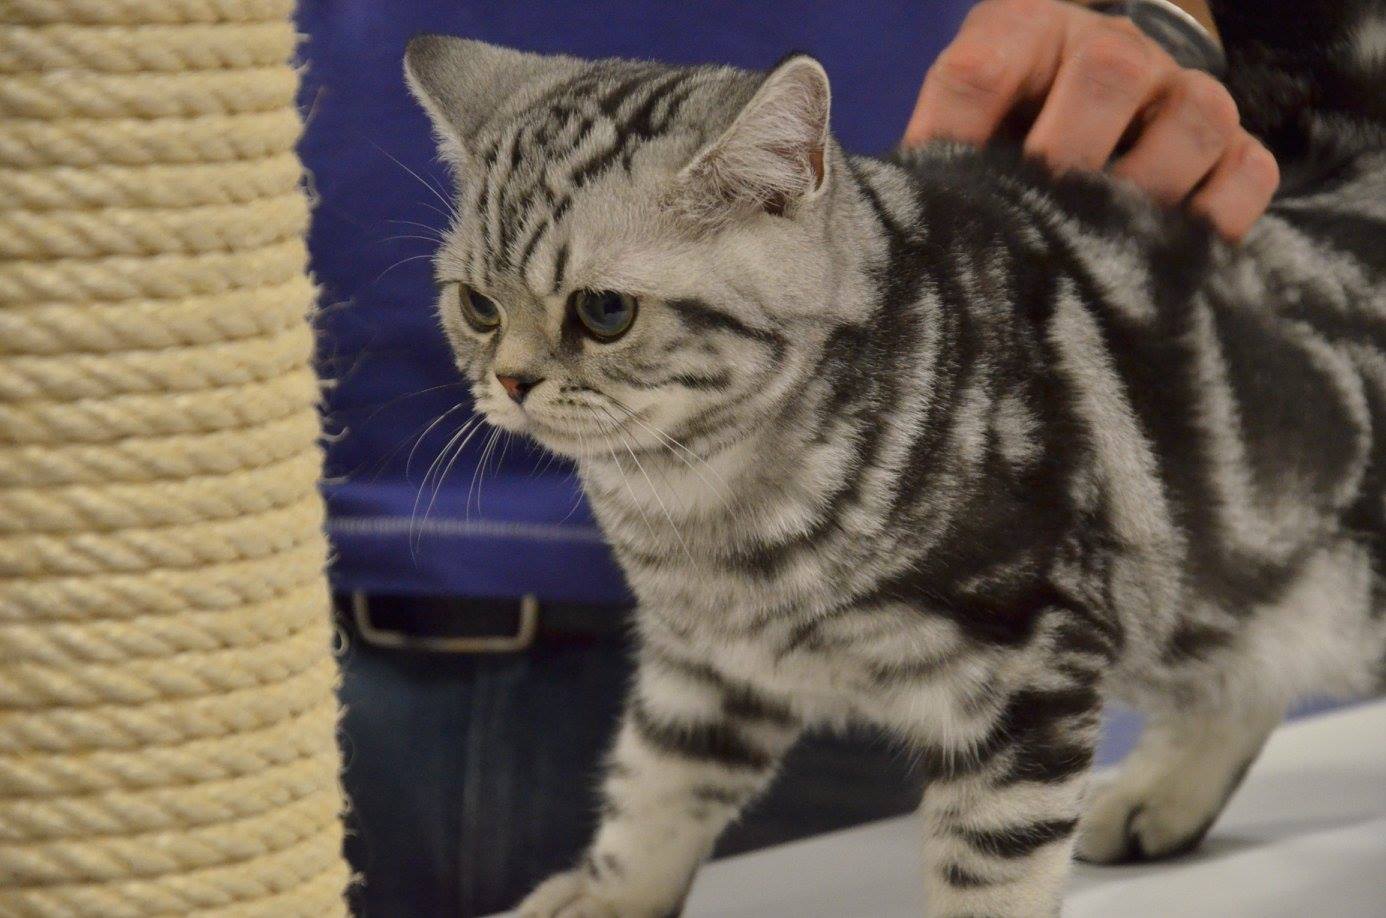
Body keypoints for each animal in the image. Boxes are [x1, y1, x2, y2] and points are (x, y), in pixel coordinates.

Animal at [401, 7, 1386, 915]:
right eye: (479, 307)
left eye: (604, 312)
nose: (511, 380)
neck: (705, 506)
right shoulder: (705, 668)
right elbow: (654, 791)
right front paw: (604, 895)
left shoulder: (1023, 673)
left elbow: (989, 872)